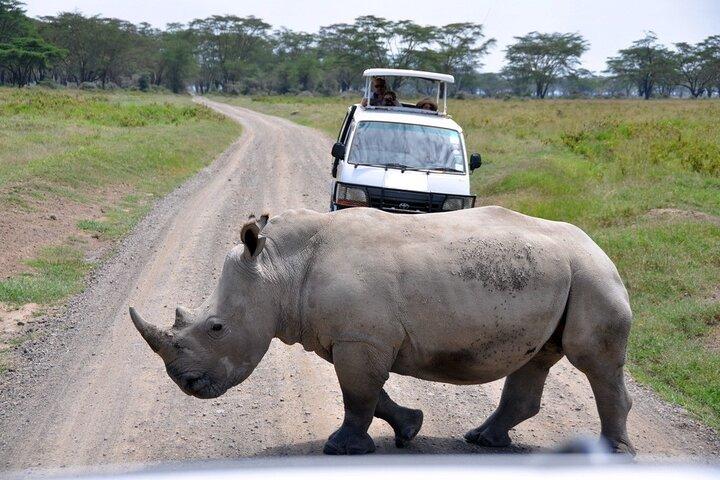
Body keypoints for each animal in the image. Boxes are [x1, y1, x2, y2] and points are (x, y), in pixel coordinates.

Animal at [129, 206, 635, 455]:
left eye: (216, 327)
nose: (186, 384)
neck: (277, 270)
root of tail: (600, 246)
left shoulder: (359, 338)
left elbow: (358, 395)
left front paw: (341, 449)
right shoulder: (352, 337)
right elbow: (372, 394)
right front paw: (410, 428)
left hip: (592, 275)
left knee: (592, 360)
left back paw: (613, 453)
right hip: (566, 274)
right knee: (538, 358)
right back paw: (482, 440)